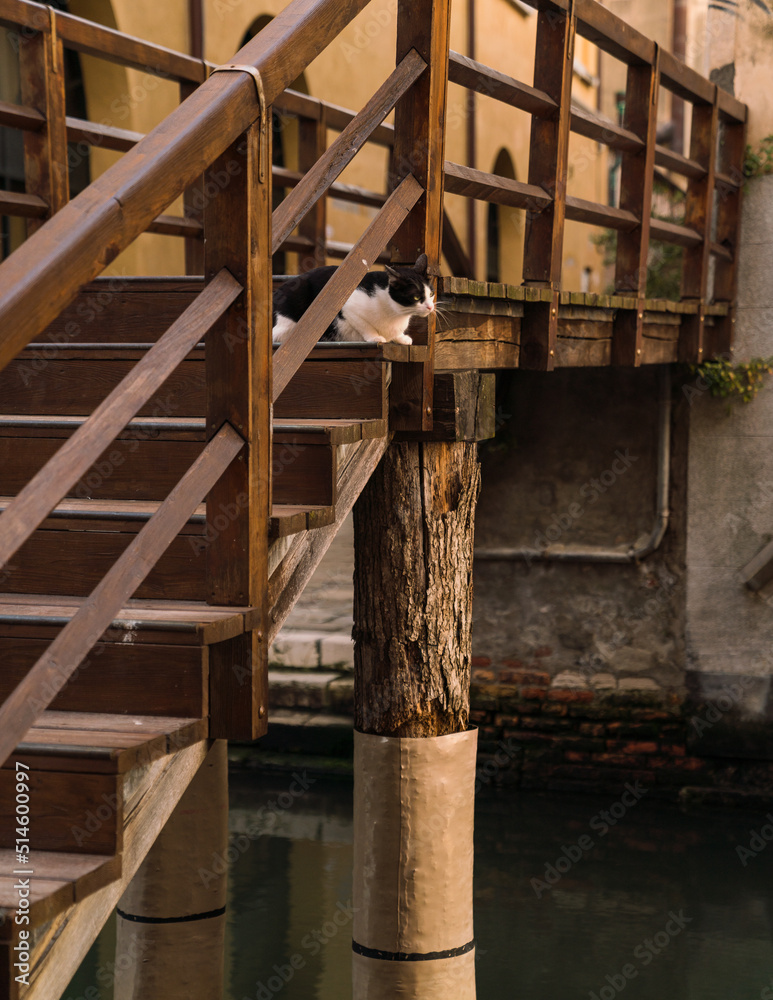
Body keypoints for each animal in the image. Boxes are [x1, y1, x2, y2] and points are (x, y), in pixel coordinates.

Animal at [272, 252, 434, 346]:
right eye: (416, 297)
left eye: (431, 294)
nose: (431, 307)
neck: (397, 313)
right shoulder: (349, 307)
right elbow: (365, 325)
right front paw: (375, 338)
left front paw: (401, 338)